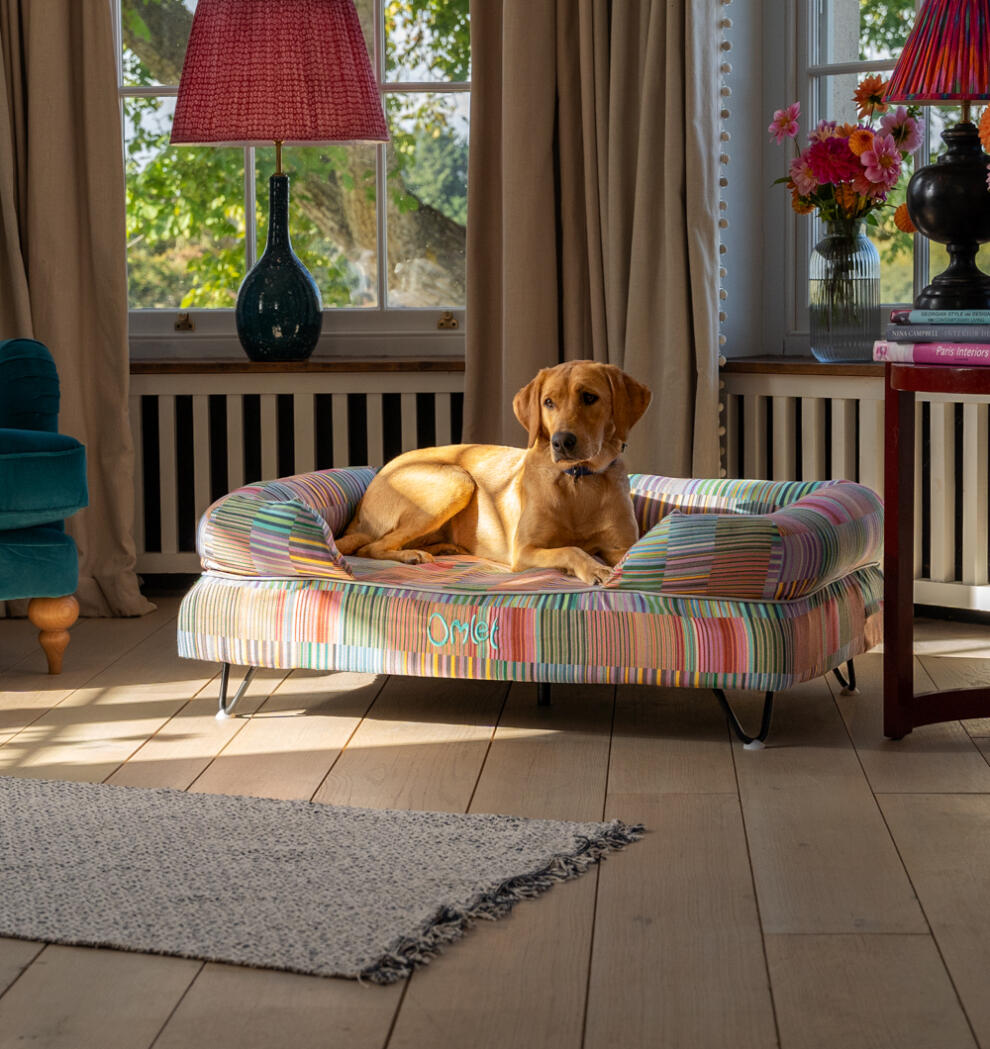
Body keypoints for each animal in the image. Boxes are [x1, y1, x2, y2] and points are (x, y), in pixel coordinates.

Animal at [335, 362, 654, 587]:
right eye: (548, 402)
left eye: (589, 397)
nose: (562, 441)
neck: (578, 480)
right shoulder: (524, 551)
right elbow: (572, 549)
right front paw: (595, 567)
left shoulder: (622, 547)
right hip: (456, 480)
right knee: (371, 547)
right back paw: (410, 555)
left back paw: (443, 548)